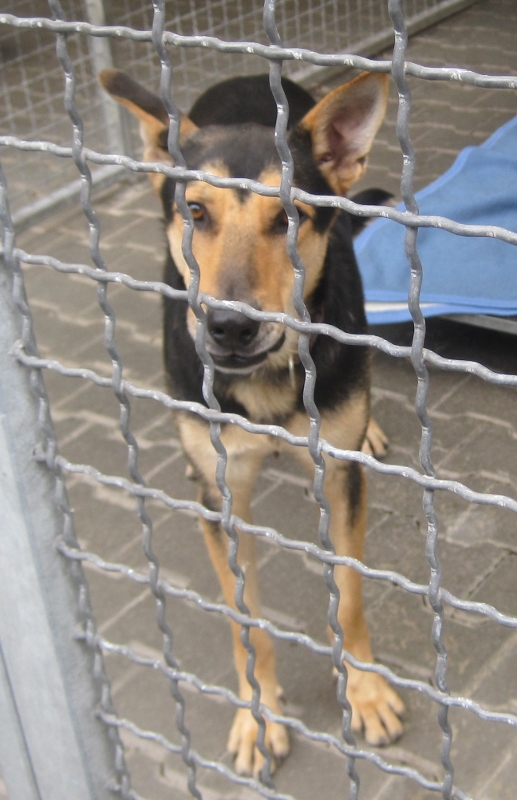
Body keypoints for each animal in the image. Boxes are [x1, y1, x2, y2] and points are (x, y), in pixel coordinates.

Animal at [100, 67, 404, 776]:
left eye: (289, 218)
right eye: (195, 212)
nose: (231, 327)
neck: (265, 379)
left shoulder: (338, 479)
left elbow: (349, 592)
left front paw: (365, 691)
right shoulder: (220, 497)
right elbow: (246, 622)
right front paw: (258, 713)